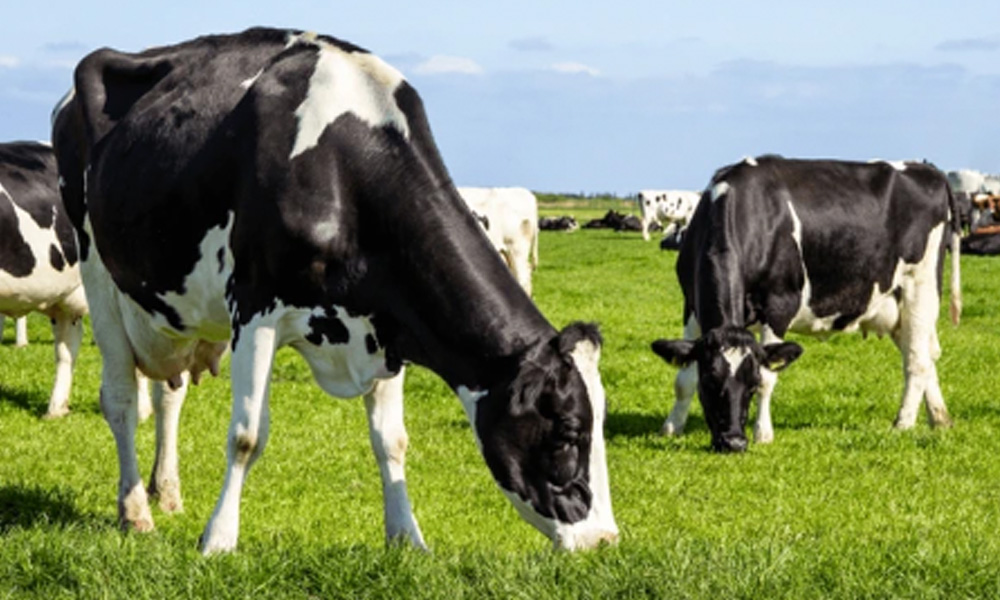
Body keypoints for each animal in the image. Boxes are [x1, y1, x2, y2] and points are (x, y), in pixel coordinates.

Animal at [54, 28, 620, 552]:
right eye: (568, 431)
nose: (605, 540)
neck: (344, 169)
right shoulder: (254, 308)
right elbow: (246, 435)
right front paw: (218, 538)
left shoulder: (390, 321)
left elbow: (392, 440)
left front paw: (407, 537)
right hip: (99, 274)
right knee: (121, 399)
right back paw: (134, 510)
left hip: (172, 312)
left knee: (169, 393)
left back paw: (166, 492)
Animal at [648, 157, 960, 452]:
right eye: (710, 382)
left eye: (751, 385)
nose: (734, 442)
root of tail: (929, 170)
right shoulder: (690, 305)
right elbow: (684, 377)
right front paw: (672, 427)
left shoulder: (779, 305)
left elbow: (769, 377)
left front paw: (763, 433)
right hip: (894, 306)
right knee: (923, 354)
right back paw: (940, 419)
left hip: (921, 286)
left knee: (917, 361)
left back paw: (902, 424)